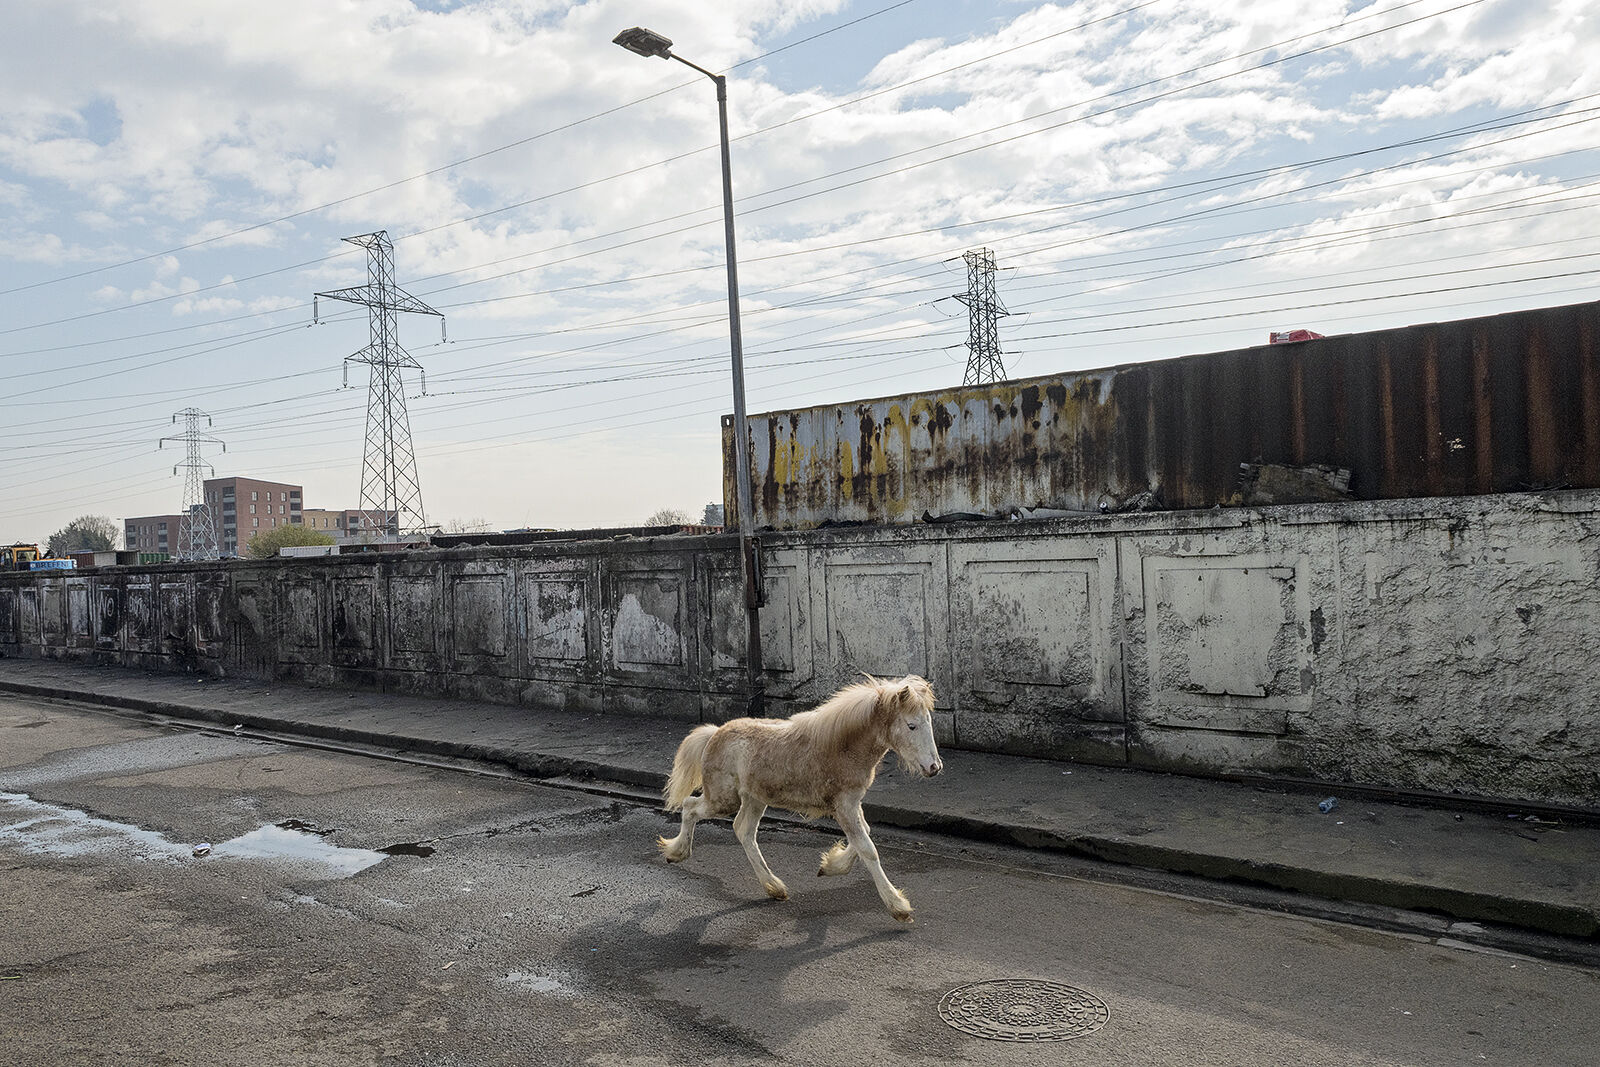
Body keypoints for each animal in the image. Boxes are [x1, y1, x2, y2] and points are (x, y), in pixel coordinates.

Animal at [656, 674, 943, 922]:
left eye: (929, 722)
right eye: (912, 725)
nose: (934, 767)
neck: (843, 747)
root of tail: (714, 733)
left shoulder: (852, 802)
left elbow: (865, 835)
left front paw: (829, 865)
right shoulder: (844, 805)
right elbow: (868, 849)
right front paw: (898, 906)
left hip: (755, 798)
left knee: (743, 830)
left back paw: (774, 887)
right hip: (724, 799)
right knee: (690, 807)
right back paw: (676, 852)